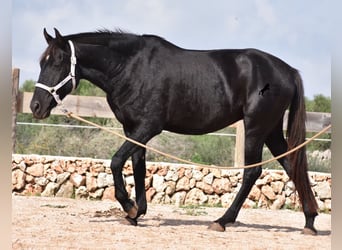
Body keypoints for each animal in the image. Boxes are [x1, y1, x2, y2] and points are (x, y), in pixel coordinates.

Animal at [30, 28, 320, 235]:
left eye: (58, 61)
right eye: (42, 61)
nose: (36, 106)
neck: (131, 67)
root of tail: (288, 71)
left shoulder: (148, 128)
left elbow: (116, 162)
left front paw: (129, 206)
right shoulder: (133, 129)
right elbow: (138, 166)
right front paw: (137, 213)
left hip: (256, 128)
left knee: (253, 172)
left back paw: (222, 220)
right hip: (271, 130)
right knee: (292, 165)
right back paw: (309, 221)